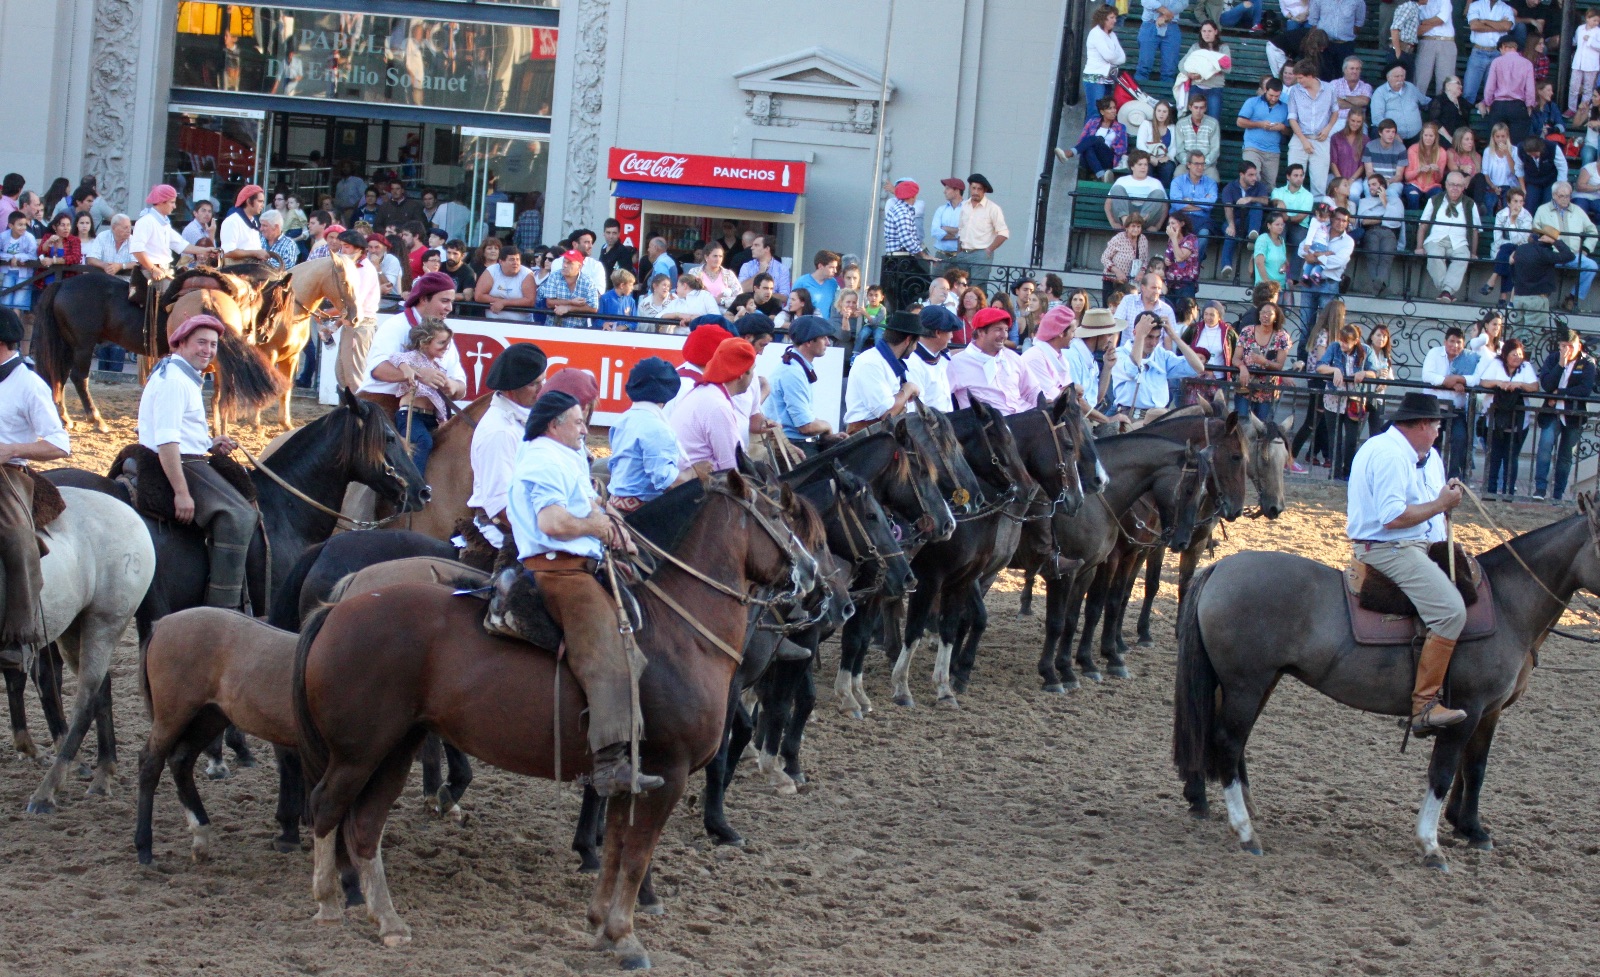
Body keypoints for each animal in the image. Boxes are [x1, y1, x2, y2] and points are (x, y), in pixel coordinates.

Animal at [16, 487, 155, 814]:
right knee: (102, 688)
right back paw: (103, 773)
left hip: (103, 624)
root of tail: (129, 512)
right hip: (72, 628)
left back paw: (48, 790)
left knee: (87, 697)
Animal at [293, 471, 820, 965]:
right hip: (358, 753)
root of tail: (338, 607)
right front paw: (626, 935)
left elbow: (616, 849)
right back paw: (329, 901)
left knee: (364, 825)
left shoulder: (632, 776)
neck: (682, 633)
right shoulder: (667, 773)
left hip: (394, 749)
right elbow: (636, 856)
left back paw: (387, 920)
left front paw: (602, 924)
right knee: (325, 806)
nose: (814, 575)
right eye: (779, 514)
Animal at [1173, 498, 1600, 869]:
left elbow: (1474, 769)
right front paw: (1430, 844)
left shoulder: (1488, 711)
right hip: (1246, 685)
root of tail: (1220, 570)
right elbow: (1443, 772)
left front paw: (1471, 829)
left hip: (1255, 683)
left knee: (1228, 739)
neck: (1506, 605)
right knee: (1227, 741)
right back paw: (1245, 831)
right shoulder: (1466, 708)